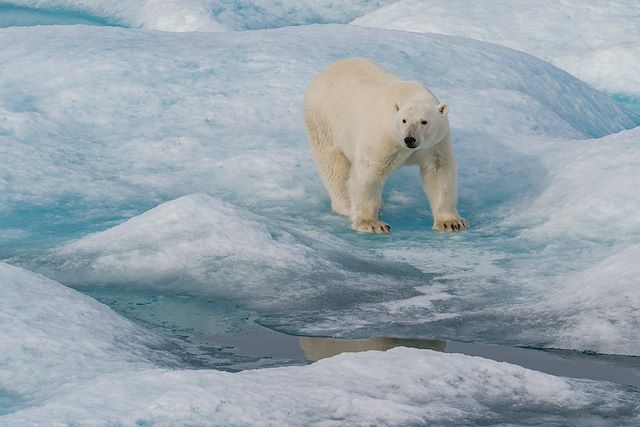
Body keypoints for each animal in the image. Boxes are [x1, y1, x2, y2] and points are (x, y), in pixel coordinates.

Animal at [302, 57, 468, 234]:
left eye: (424, 121)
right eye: (404, 120)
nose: (409, 139)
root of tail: (323, 73)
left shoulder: (435, 143)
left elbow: (438, 172)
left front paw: (451, 223)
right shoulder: (385, 136)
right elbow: (369, 172)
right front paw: (372, 223)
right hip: (324, 123)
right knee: (334, 166)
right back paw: (347, 206)